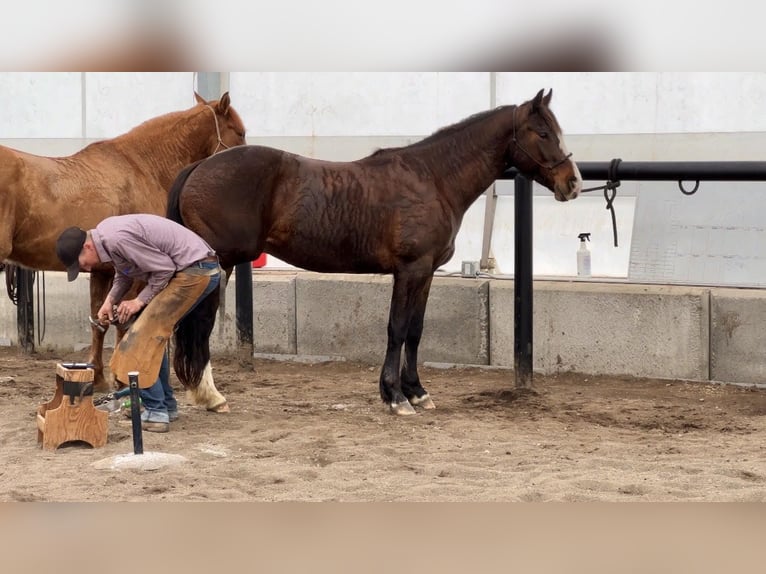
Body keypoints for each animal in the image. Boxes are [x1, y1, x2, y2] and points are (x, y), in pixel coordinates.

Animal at [0, 92, 246, 412]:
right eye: (239, 132)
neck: (142, 166)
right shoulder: (136, 271)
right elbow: (124, 326)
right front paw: (121, 381)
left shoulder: (102, 270)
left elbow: (100, 322)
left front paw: (98, 378)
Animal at [168, 88, 584, 416]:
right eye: (543, 132)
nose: (574, 183)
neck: (433, 177)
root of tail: (198, 167)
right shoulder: (410, 269)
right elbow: (396, 329)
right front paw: (395, 397)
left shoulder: (426, 272)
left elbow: (415, 331)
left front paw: (417, 392)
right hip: (219, 264)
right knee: (199, 324)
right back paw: (211, 396)